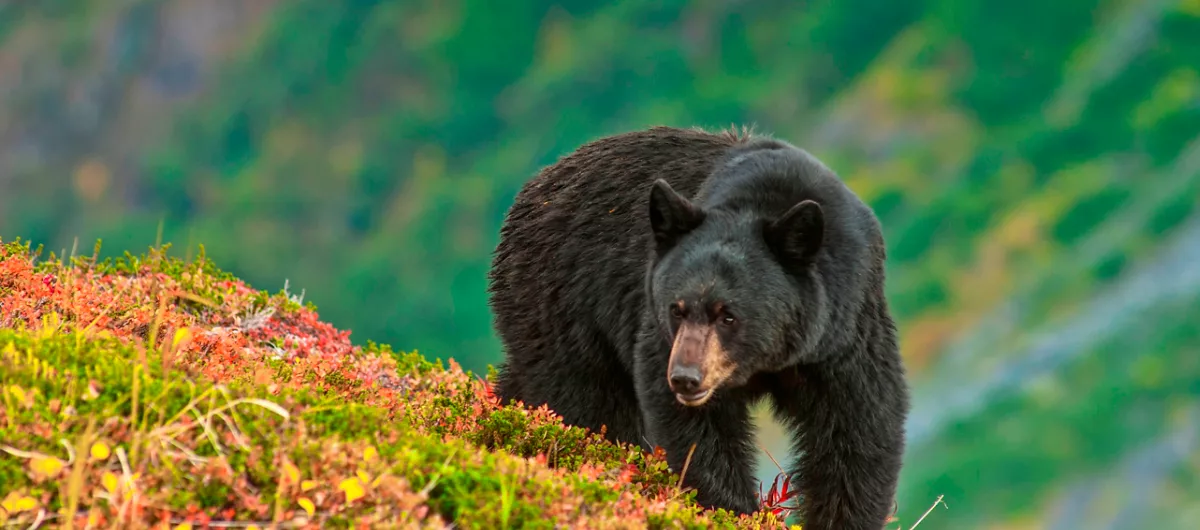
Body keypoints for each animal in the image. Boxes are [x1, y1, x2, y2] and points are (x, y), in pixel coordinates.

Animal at [486, 125, 910, 530]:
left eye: (729, 315)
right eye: (677, 309)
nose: (685, 379)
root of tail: (533, 188)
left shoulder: (843, 332)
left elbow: (857, 431)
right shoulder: (659, 335)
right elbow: (699, 438)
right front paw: (731, 511)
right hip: (562, 303)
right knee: (585, 404)